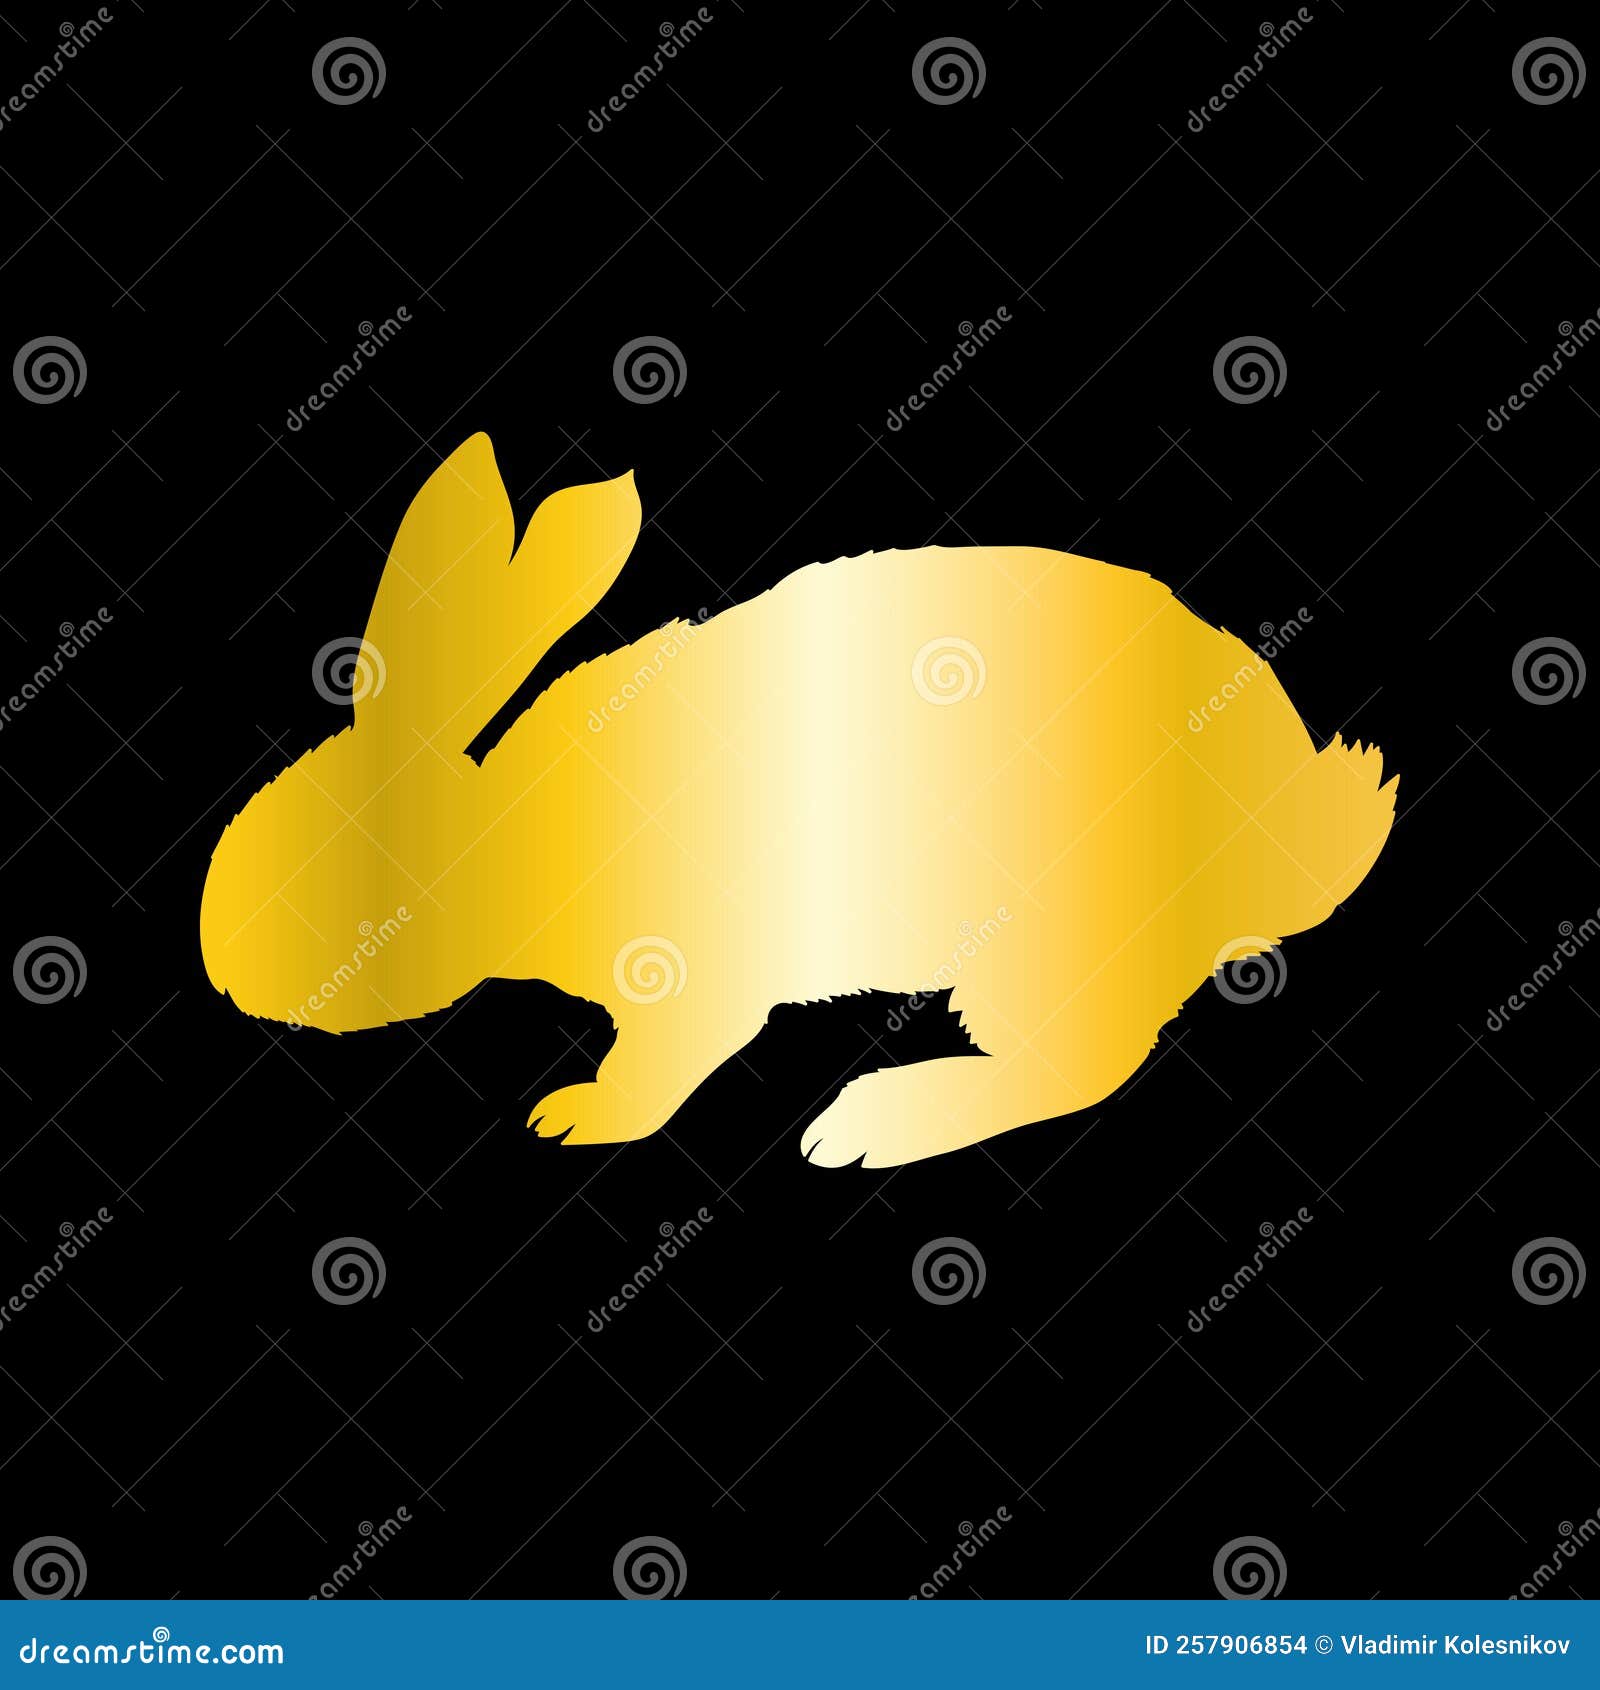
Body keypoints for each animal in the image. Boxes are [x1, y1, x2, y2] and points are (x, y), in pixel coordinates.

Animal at [200, 432, 1396, 1167]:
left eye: (344, 877)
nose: (225, 972)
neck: (511, 834)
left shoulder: (687, 980)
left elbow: (663, 1063)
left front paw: (574, 1120)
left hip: (1043, 939)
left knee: (1077, 1067)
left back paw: (863, 1126)